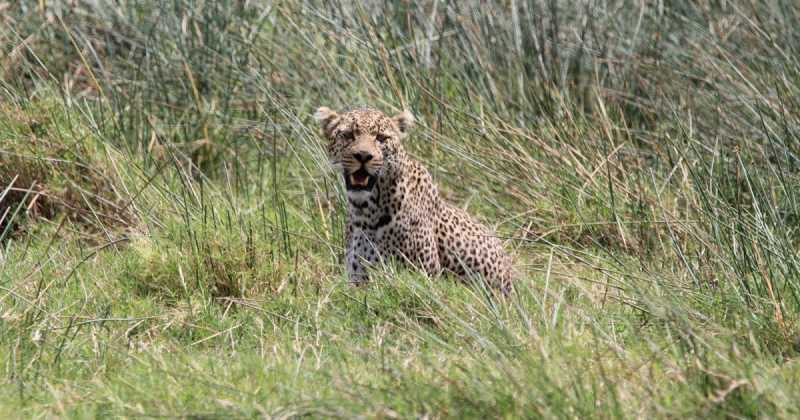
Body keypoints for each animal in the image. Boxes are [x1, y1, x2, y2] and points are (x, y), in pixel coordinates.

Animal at [314, 106, 514, 293]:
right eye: (348, 135)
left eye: (381, 138)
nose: (363, 155)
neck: (364, 211)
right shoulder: (358, 278)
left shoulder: (424, 274)